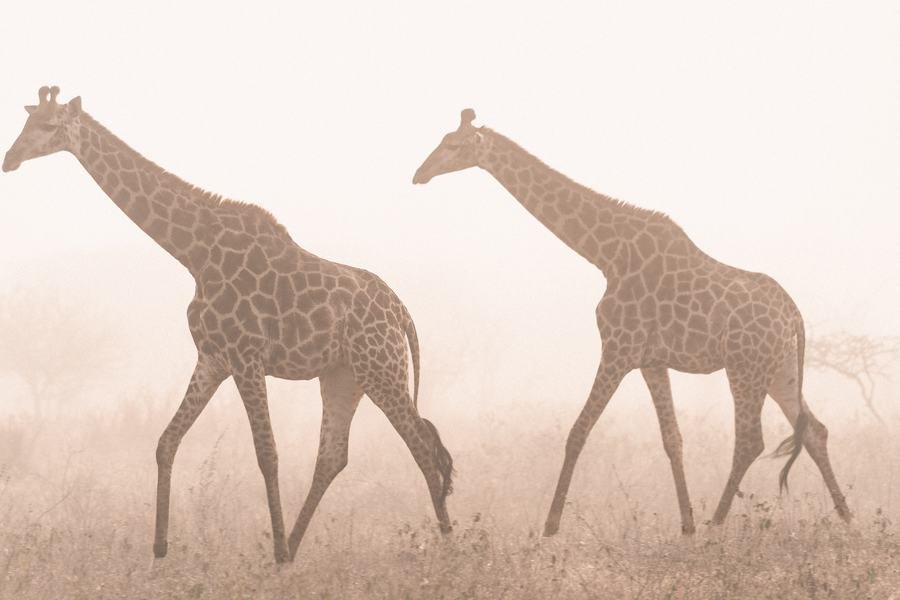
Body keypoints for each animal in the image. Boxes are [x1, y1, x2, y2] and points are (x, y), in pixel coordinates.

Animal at [2, 86, 455, 563]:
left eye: (49, 125)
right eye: (26, 122)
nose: (10, 158)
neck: (195, 254)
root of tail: (402, 312)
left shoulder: (246, 356)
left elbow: (267, 453)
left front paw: (274, 553)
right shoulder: (213, 357)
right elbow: (166, 441)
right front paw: (160, 550)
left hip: (381, 368)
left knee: (424, 447)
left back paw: (447, 547)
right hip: (343, 375)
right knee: (333, 456)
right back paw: (297, 548)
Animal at [412, 109, 850, 536]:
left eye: (453, 145)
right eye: (442, 139)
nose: (419, 174)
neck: (605, 254)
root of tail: (794, 314)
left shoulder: (618, 347)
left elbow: (578, 431)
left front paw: (550, 526)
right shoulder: (651, 360)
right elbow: (672, 439)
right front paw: (686, 524)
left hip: (745, 367)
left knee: (750, 441)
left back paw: (717, 524)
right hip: (781, 370)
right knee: (815, 429)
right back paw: (847, 517)